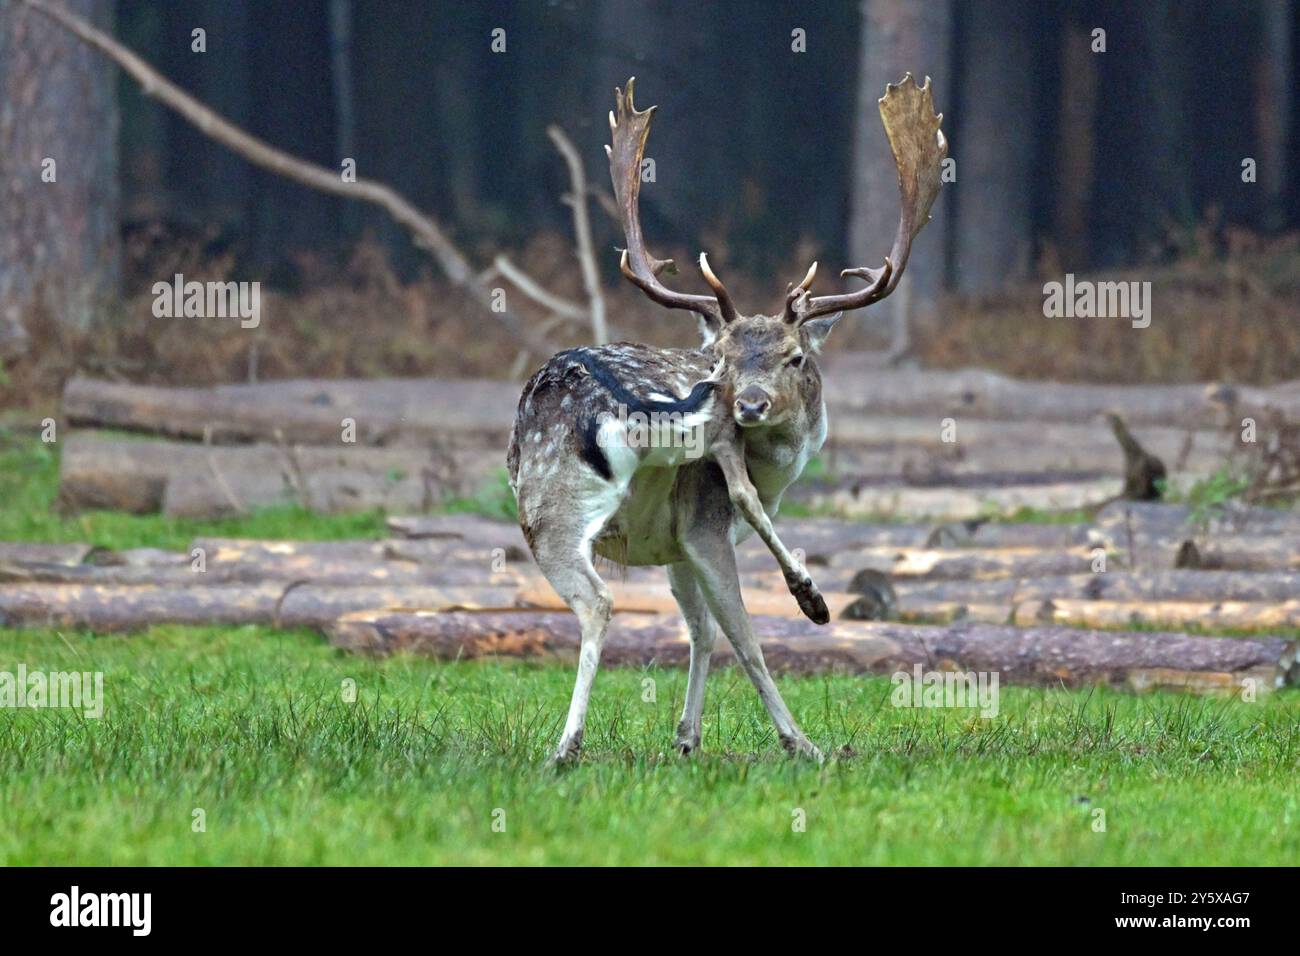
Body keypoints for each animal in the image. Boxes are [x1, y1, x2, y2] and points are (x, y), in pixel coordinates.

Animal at [507, 74, 946, 764]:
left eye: (795, 356)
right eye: (723, 358)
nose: (750, 403)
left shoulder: (674, 541)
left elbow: (700, 629)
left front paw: (687, 738)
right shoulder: (704, 526)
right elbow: (739, 632)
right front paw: (796, 739)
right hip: (552, 505)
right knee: (612, 597)